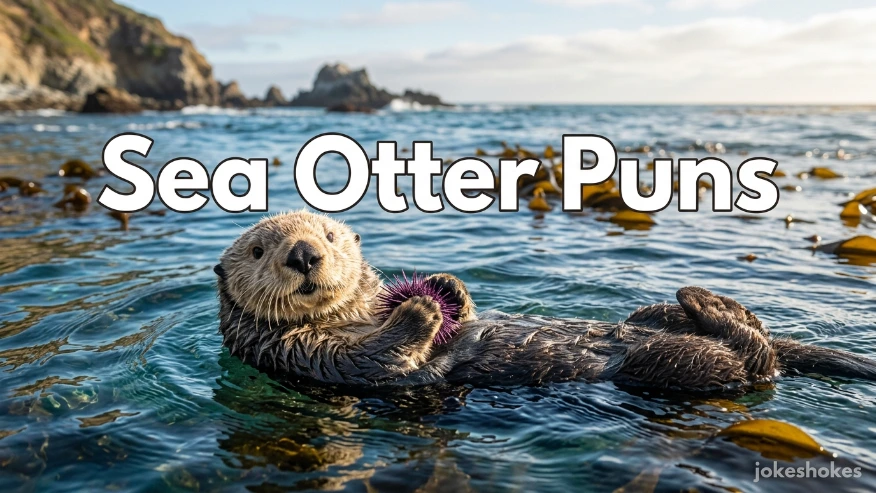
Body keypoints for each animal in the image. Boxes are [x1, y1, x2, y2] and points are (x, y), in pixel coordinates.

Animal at [213, 211, 876, 389]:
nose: (303, 254)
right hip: (669, 368)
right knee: (749, 358)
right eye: (259, 250)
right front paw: (418, 312)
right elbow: (373, 361)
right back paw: (705, 304)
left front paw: (449, 290)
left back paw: (688, 300)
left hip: (648, 331)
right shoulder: (300, 353)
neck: (353, 317)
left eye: (328, 236)